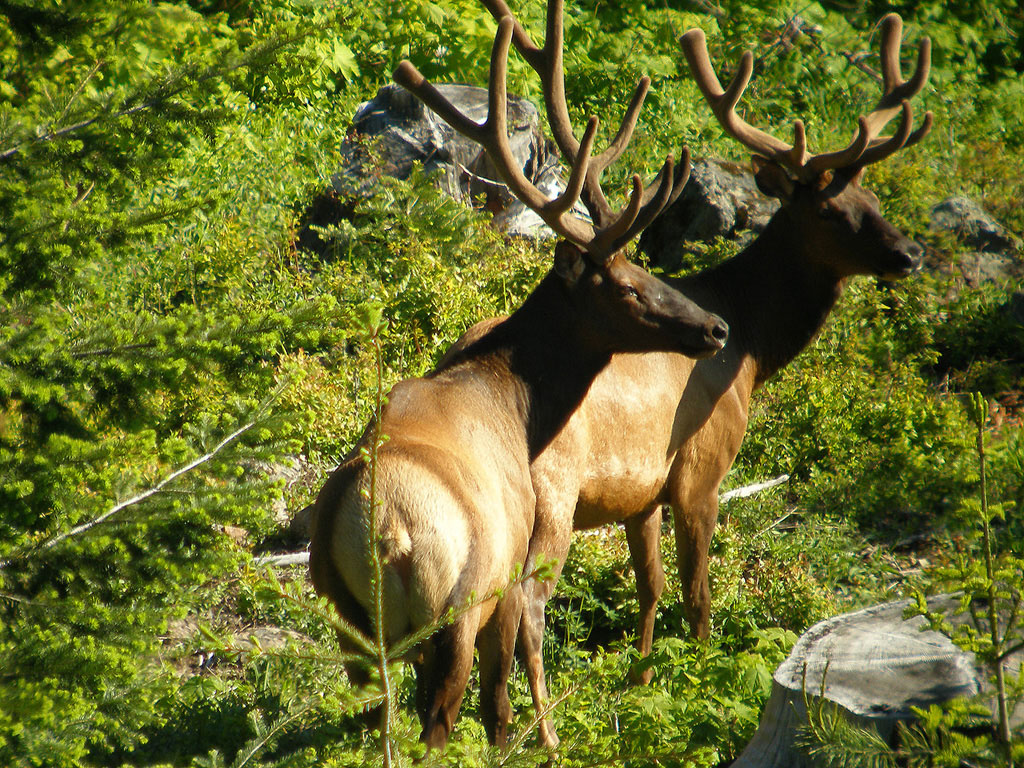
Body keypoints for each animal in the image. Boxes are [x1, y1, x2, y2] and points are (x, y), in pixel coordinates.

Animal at [307, 1, 729, 753]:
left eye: (644, 267)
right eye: (628, 284)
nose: (714, 328)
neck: (516, 404)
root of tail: (383, 529)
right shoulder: (511, 565)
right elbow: (499, 704)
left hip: (347, 622)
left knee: (375, 721)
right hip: (460, 598)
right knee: (443, 719)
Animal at [443, 11, 933, 684]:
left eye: (875, 201)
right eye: (832, 213)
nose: (910, 254)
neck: (754, 346)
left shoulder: (642, 492)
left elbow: (648, 586)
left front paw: (643, 677)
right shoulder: (701, 468)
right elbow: (697, 594)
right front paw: (700, 676)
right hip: (550, 499)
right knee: (523, 606)